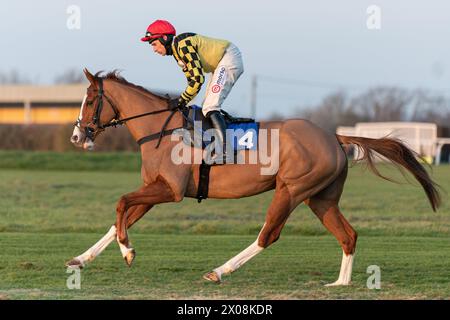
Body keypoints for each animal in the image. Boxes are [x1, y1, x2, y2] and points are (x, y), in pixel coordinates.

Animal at [67, 69, 440, 286]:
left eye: (89, 99)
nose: (76, 135)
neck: (161, 129)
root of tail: (334, 137)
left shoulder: (168, 190)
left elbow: (120, 204)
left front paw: (128, 251)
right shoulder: (153, 188)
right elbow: (119, 218)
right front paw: (81, 259)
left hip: (291, 190)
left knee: (268, 235)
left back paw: (220, 271)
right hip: (320, 198)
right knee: (348, 235)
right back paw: (340, 284)